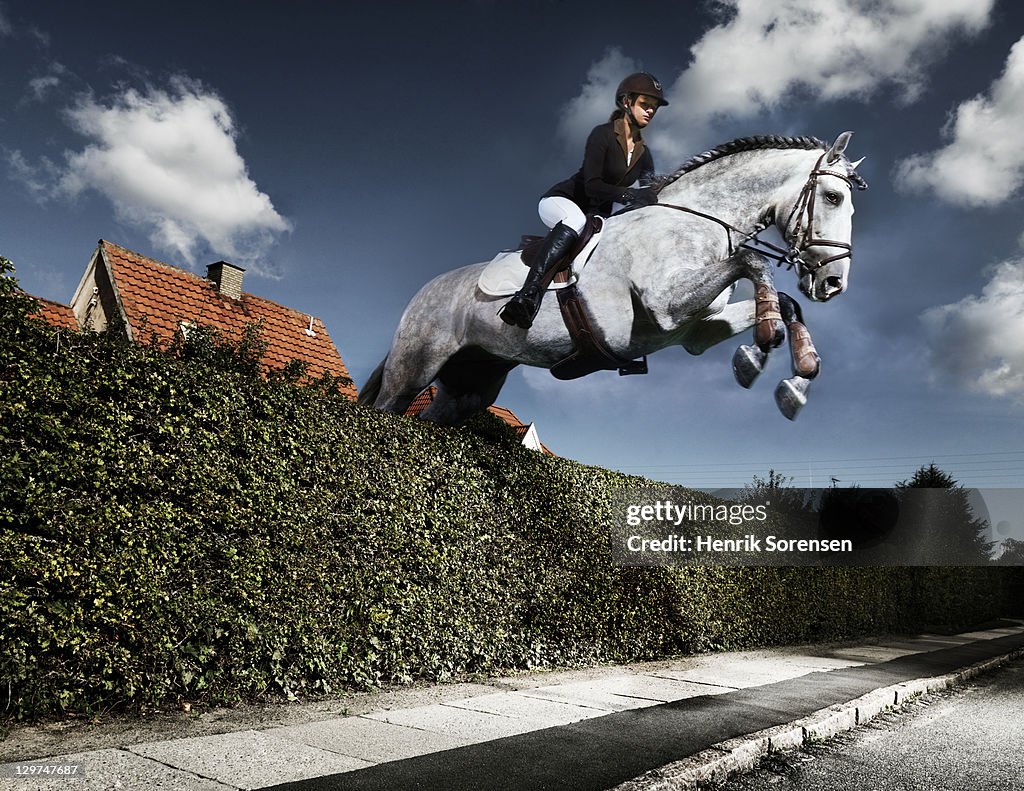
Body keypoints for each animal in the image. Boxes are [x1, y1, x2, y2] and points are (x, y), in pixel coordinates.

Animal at [356, 133, 868, 424]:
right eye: (833, 197)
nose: (833, 284)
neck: (698, 220)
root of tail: (424, 292)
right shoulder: (665, 306)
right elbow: (751, 263)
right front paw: (762, 344)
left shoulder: (695, 333)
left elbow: (785, 301)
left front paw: (789, 377)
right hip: (413, 369)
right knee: (387, 408)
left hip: (471, 385)